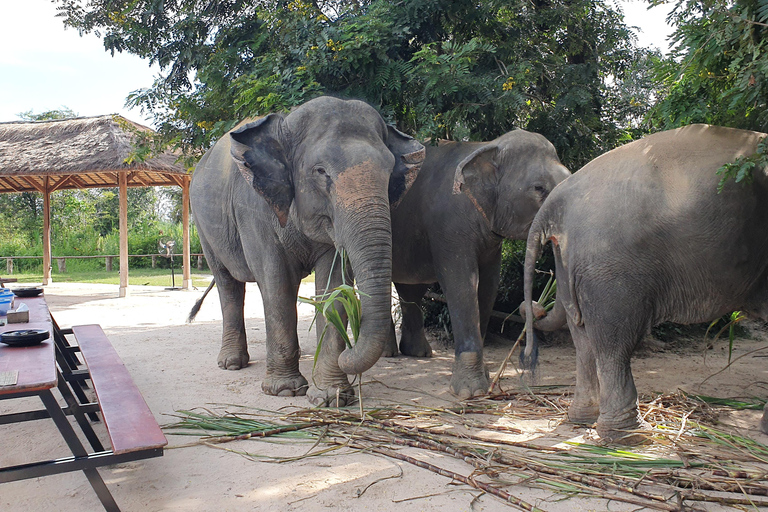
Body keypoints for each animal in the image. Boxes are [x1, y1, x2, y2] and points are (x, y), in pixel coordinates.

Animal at [188, 96, 426, 404]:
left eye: (388, 174)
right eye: (321, 172)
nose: (350, 351)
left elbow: (333, 287)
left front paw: (332, 397)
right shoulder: (253, 210)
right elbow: (276, 283)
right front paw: (285, 390)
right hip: (202, 225)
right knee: (227, 282)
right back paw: (231, 363)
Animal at [384, 129, 568, 400]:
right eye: (538, 188)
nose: (535, 307)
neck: (488, 146)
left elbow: (489, 286)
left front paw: (485, 378)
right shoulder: (450, 226)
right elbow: (462, 283)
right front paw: (470, 392)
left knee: (411, 286)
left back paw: (418, 353)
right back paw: (387, 353)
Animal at [520, 124, 768, 444]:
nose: (537, 306)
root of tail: (554, 202)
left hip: (577, 266)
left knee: (583, 338)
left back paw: (583, 421)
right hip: (612, 270)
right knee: (615, 342)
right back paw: (630, 436)